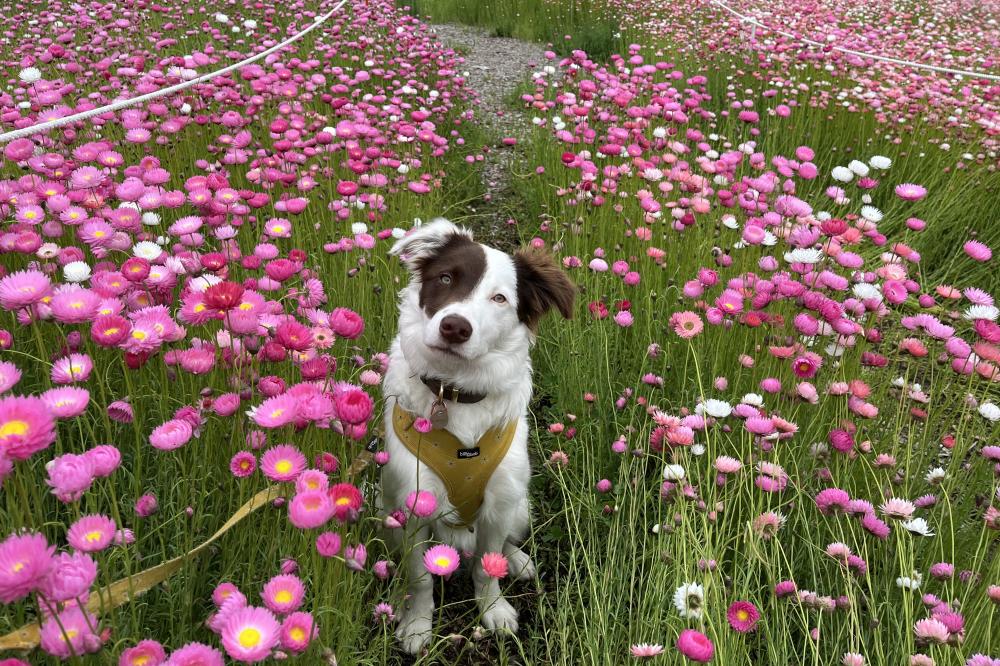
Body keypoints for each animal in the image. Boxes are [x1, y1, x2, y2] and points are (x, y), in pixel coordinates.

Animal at [380, 219, 576, 652]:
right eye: (446, 278)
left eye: (500, 298)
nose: (455, 327)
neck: (456, 396)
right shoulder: (414, 503)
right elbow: (420, 577)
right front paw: (417, 623)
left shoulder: (500, 501)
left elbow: (488, 567)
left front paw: (494, 610)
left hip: (519, 506)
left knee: (503, 545)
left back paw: (518, 561)